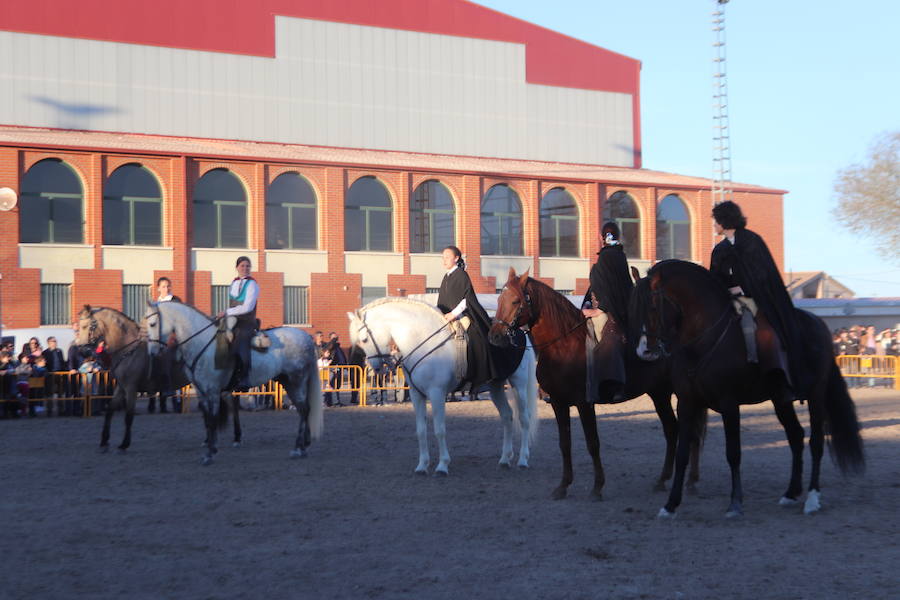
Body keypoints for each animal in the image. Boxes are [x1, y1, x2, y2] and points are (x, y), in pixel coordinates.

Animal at [142, 300, 322, 464]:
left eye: (152, 323)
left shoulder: (213, 390)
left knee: (304, 409)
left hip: (297, 381)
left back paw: (298, 448)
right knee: (303, 409)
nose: (152, 352)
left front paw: (210, 453)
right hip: (288, 382)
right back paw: (304, 445)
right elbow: (207, 418)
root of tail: (306, 337)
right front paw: (211, 446)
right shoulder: (202, 392)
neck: (203, 343)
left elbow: (213, 418)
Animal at [348, 298, 536, 476]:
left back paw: (523, 460)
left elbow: (439, 430)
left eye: (364, 339)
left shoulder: (436, 393)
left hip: (519, 384)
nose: (375, 368)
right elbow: (420, 430)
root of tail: (521, 334)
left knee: (524, 419)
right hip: (495, 387)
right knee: (507, 416)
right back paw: (504, 459)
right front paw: (422, 466)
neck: (421, 340)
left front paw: (442, 466)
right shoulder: (417, 395)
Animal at [486, 270, 704, 500]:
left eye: (515, 301)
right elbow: (565, 444)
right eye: (499, 299)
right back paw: (664, 480)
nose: (495, 336)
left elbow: (593, 443)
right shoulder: (558, 403)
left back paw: (690, 482)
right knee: (672, 430)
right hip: (659, 394)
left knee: (689, 432)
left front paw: (597, 487)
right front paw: (563, 486)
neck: (563, 345)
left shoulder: (584, 404)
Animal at [632, 260, 864, 516]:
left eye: (653, 306)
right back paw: (790, 493)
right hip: (781, 400)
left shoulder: (729, 404)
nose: (644, 350)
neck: (705, 338)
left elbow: (733, 453)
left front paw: (735, 503)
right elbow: (682, 453)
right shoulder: (687, 403)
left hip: (816, 396)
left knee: (815, 441)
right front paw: (671, 505)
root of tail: (819, 325)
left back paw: (812, 499)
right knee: (795, 436)